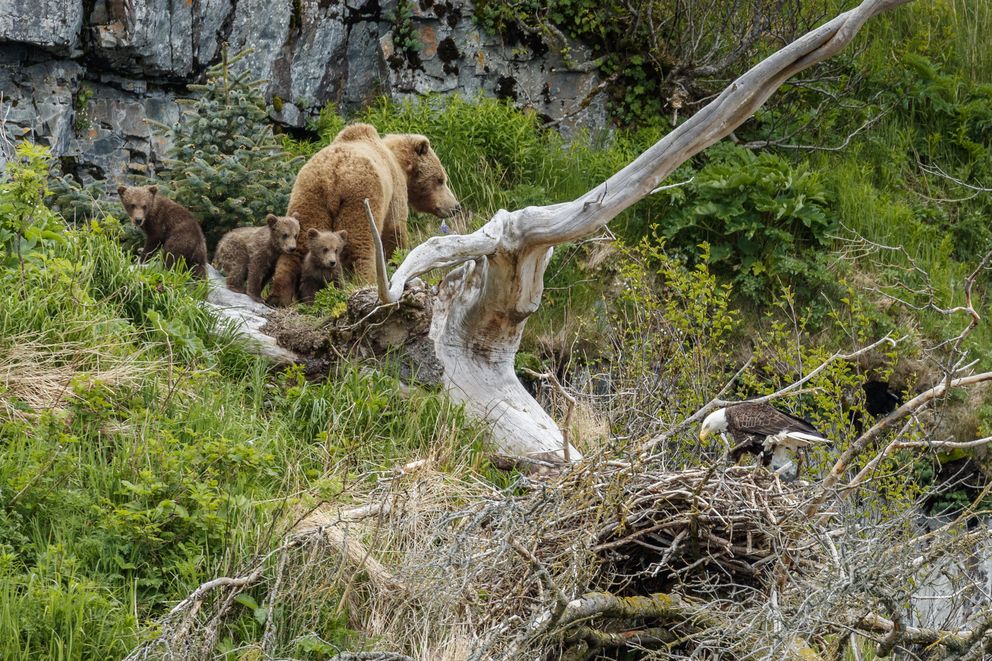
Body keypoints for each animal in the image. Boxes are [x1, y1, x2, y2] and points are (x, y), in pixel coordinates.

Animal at [268, 122, 462, 306]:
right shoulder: (394, 191)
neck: (398, 163)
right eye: (440, 179)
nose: (455, 206)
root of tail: (331, 175)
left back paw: (279, 296)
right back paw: (364, 283)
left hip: (310, 197)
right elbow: (394, 230)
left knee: (298, 245)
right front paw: (396, 261)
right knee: (359, 245)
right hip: (359, 198)